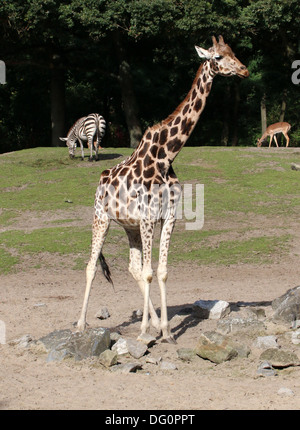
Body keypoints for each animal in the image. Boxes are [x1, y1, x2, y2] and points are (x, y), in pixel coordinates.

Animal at [77, 35, 248, 342]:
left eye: (234, 52)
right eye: (217, 57)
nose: (244, 70)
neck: (167, 156)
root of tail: (101, 179)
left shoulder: (167, 217)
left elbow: (162, 271)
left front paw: (166, 331)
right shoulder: (148, 217)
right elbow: (149, 271)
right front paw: (145, 331)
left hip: (129, 226)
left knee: (132, 267)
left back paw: (155, 323)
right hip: (101, 218)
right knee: (91, 266)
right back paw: (81, 325)